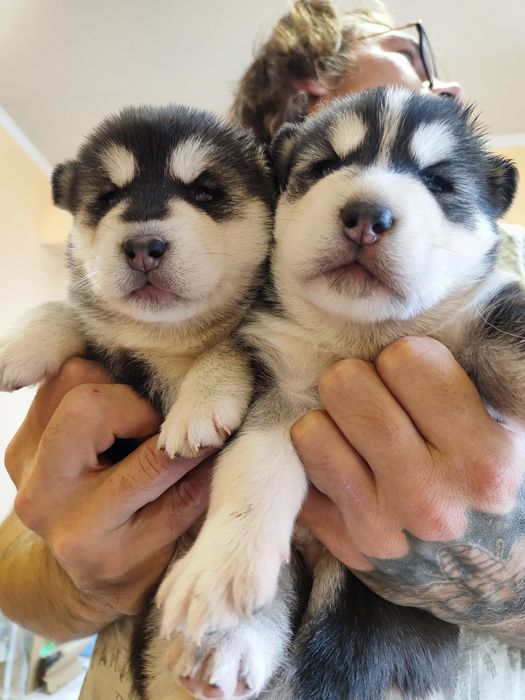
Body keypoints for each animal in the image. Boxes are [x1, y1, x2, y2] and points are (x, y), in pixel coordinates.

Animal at [0, 105, 275, 697]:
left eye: (207, 191)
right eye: (107, 197)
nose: (142, 245)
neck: (167, 341)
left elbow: (228, 348)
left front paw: (199, 404)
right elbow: (69, 312)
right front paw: (20, 343)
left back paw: (224, 643)